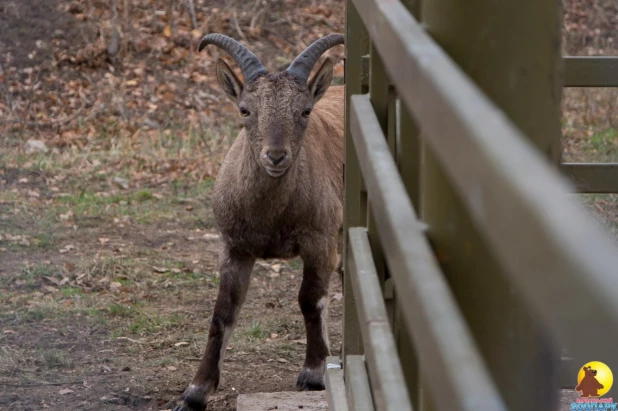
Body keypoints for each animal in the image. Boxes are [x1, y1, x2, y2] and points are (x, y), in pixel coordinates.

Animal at [173, 33, 344, 411]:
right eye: (245, 110)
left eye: (305, 110)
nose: (276, 156)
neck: (270, 217)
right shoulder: (235, 248)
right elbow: (222, 313)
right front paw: (195, 392)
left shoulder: (319, 240)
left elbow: (311, 299)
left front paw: (313, 373)